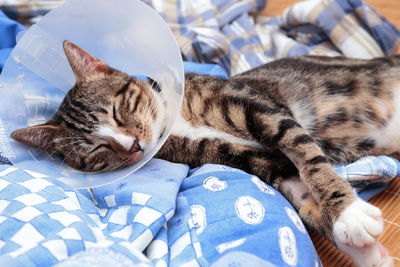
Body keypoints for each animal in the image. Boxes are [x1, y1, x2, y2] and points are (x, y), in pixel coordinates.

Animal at [10, 41, 398, 266]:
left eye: (118, 110)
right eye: (98, 148)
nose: (132, 145)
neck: (176, 122)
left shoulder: (263, 109)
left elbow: (308, 157)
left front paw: (348, 213)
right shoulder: (247, 159)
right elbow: (300, 192)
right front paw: (364, 249)